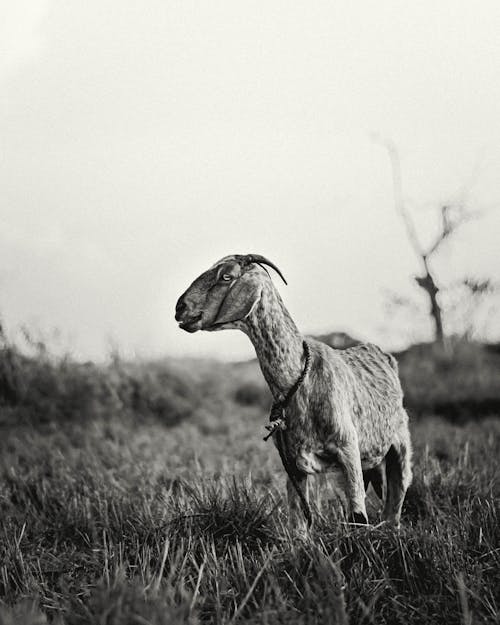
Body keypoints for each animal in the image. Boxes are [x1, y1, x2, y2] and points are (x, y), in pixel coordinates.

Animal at [174, 254, 412, 528]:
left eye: (226, 276)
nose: (180, 307)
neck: (298, 381)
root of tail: (383, 355)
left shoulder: (348, 450)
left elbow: (357, 515)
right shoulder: (292, 464)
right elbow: (298, 520)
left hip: (399, 446)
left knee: (395, 503)